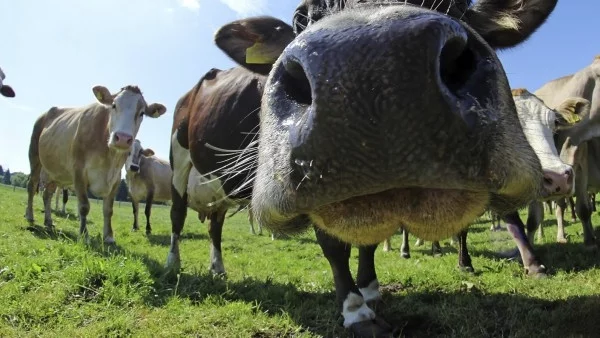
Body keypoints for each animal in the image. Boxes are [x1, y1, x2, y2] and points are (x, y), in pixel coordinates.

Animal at [24, 84, 166, 243]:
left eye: (141, 113)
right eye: (114, 105)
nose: (123, 138)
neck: (109, 158)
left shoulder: (115, 179)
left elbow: (108, 210)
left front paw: (109, 236)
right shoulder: (78, 172)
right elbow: (84, 206)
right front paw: (84, 234)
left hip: (55, 172)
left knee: (47, 194)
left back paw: (48, 220)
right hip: (35, 157)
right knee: (31, 186)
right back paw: (30, 216)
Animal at [212, 0, 556, 336]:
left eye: (459, 7)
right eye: (301, 18)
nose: (370, 66)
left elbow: (370, 243)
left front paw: (370, 289)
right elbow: (334, 248)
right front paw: (356, 312)